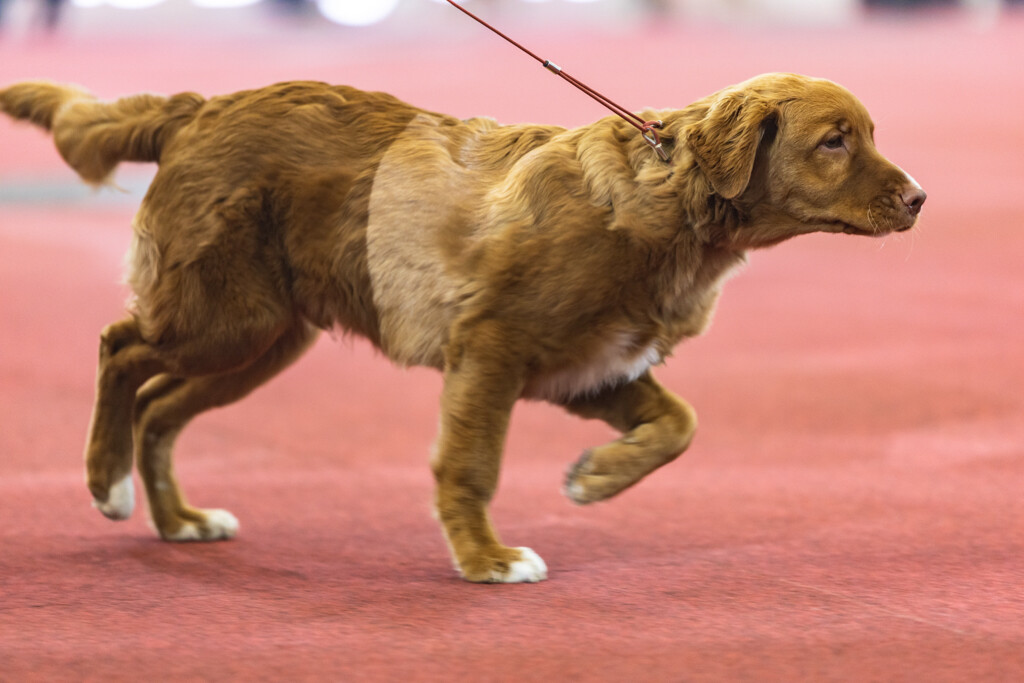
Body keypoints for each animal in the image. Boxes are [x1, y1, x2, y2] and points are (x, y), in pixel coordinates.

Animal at [0, 73, 929, 581]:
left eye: (867, 134)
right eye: (835, 141)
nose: (920, 197)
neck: (665, 208)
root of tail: (198, 109)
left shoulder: (593, 366)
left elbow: (680, 424)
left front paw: (595, 477)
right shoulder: (491, 349)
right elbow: (472, 463)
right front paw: (487, 558)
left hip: (267, 338)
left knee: (161, 405)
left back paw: (177, 518)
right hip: (226, 316)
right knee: (119, 350)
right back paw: (105, 478)